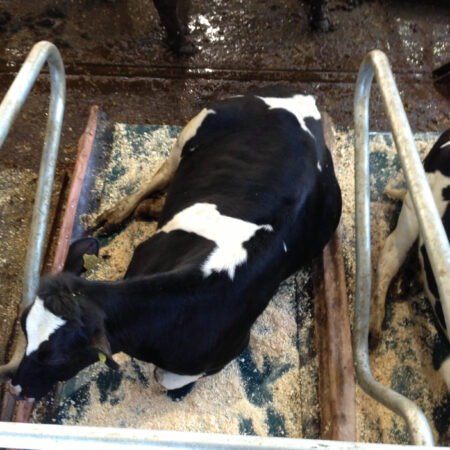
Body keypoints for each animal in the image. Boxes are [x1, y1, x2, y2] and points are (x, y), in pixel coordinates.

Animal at [7, 86, 342, 400]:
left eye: (55, 358)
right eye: (23, 329)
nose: (14, 387)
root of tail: (302, 99)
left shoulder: (231, 348)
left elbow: (164, 378)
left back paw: (151, 207)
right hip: (190, 132)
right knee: (160, 175)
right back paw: (123, 212)